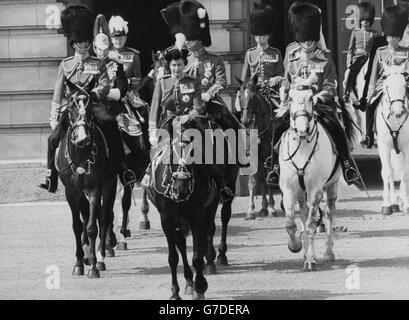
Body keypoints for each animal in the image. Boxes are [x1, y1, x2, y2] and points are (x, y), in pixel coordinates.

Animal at [55, 81, 116, 278]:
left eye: (89, 107)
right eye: (71, 106)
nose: (82, 138)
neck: (81, 154)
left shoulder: (95, 188)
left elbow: (91, 227)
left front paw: (94, 267)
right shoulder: (71, 192)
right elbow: (77, 225)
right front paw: (79, 263)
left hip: (110, 185)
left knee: (104, 218)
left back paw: (101, 257)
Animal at [278, 87, 342, 270]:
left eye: (310, 99)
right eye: (290, 99)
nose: (302, 128)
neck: (301, 147)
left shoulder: (316, 190)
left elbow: (312, 224)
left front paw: (311, 260)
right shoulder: (289, 190)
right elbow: (291, 224)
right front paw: (295, 246)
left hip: (332, 185)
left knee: (329, 213)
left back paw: (328, 253)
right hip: (301, 193)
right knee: (303, 215)